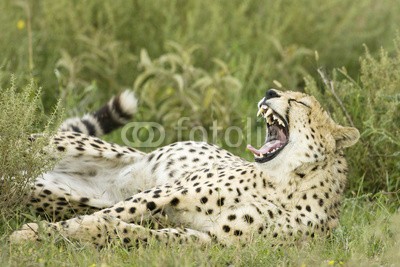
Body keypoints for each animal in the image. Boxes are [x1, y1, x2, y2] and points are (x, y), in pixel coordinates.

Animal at [10, 89, 360, 248]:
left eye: (301, 102)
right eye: (282, 92)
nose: (269, 92)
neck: (284, 182)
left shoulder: (213, 242)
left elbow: (137, 233)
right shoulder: (165, 191)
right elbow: (114, 215)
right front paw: (35, 233)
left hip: (53, 194)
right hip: (55, 147)